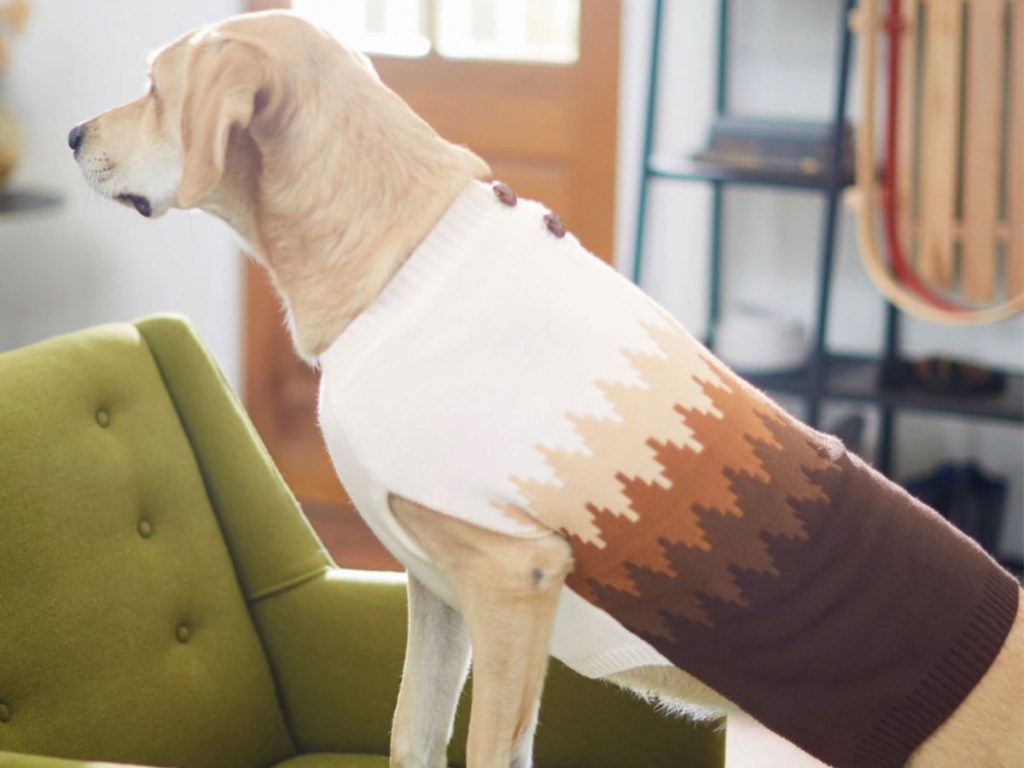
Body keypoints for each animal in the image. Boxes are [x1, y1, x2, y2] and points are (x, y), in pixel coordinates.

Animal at [72, 12, 1024, 768]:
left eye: (154, 88)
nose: (74, 133)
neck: (403, 260)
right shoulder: (435, 584)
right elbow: (412, 734)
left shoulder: (511, 580)